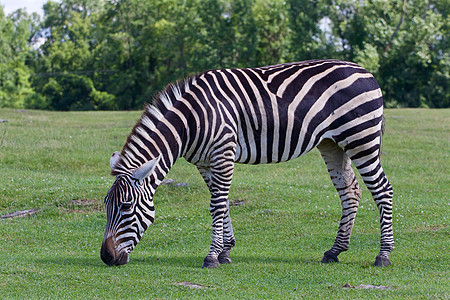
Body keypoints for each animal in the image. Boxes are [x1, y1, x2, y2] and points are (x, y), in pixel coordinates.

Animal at [101, 58, 394, 268]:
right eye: (106, 206)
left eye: (126, 207)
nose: (106, 257)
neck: (190, 122)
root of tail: (367, 72)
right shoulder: (205, 162)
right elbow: (222, 203)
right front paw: (225, 251)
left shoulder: (223, 152)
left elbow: (217, 206)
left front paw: (212, 257)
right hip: (332, 144)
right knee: (350, 191)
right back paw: (334, 251)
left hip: (361, 139)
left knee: (383, 189)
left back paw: (383, 255)